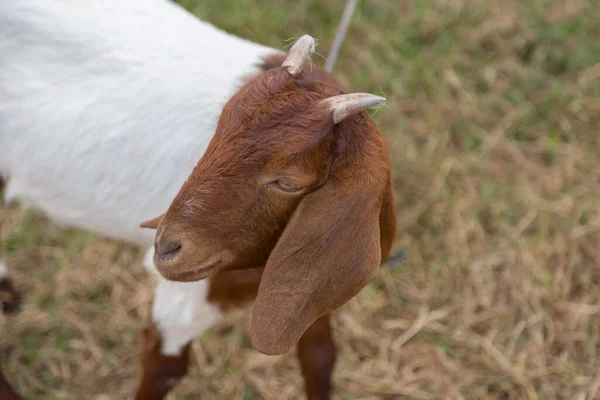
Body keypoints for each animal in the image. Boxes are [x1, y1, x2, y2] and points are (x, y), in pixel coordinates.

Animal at [2, 0, 396, 398]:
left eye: (288, 182)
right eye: (217, 129)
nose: (165, 248)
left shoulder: (304, 293)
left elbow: (319, 358)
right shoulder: (187, 296)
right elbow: (165, 368)